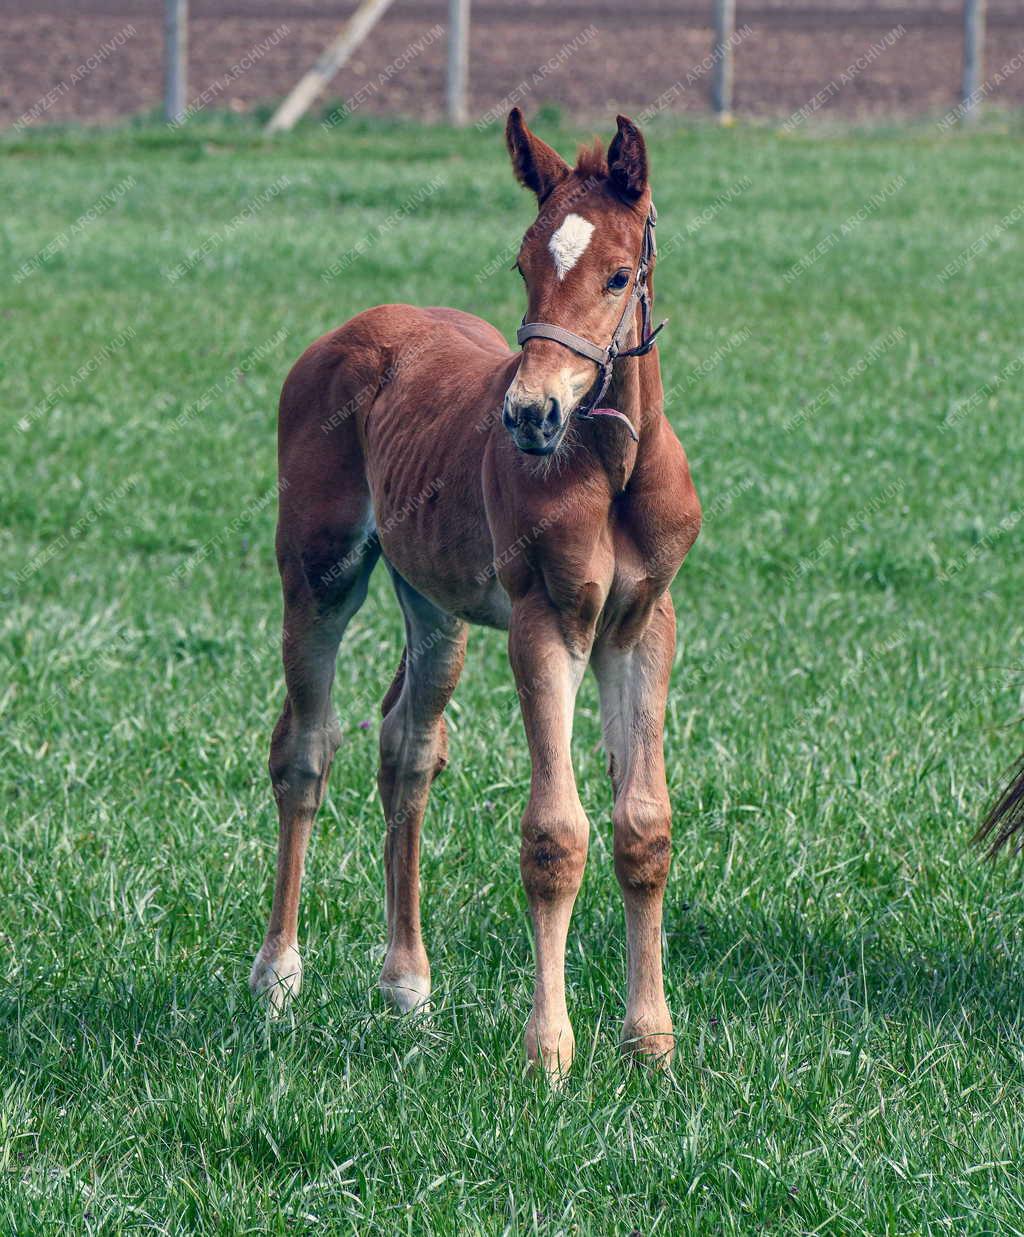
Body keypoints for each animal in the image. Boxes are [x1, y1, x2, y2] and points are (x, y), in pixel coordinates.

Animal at [253, 111, 702, 1078]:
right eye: (524, 263)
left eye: (619, 275)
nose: (530, 414)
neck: (613, 467)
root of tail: (358, 327)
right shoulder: (546, 621)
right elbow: (555, 833)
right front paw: (549, 1052)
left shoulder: (643, 624)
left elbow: (643, 826)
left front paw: (650, 1042)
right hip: (319, 572)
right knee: (305, 746)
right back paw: (277, 977)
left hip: (434, 601)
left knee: (407, 748)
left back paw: (408, 989)